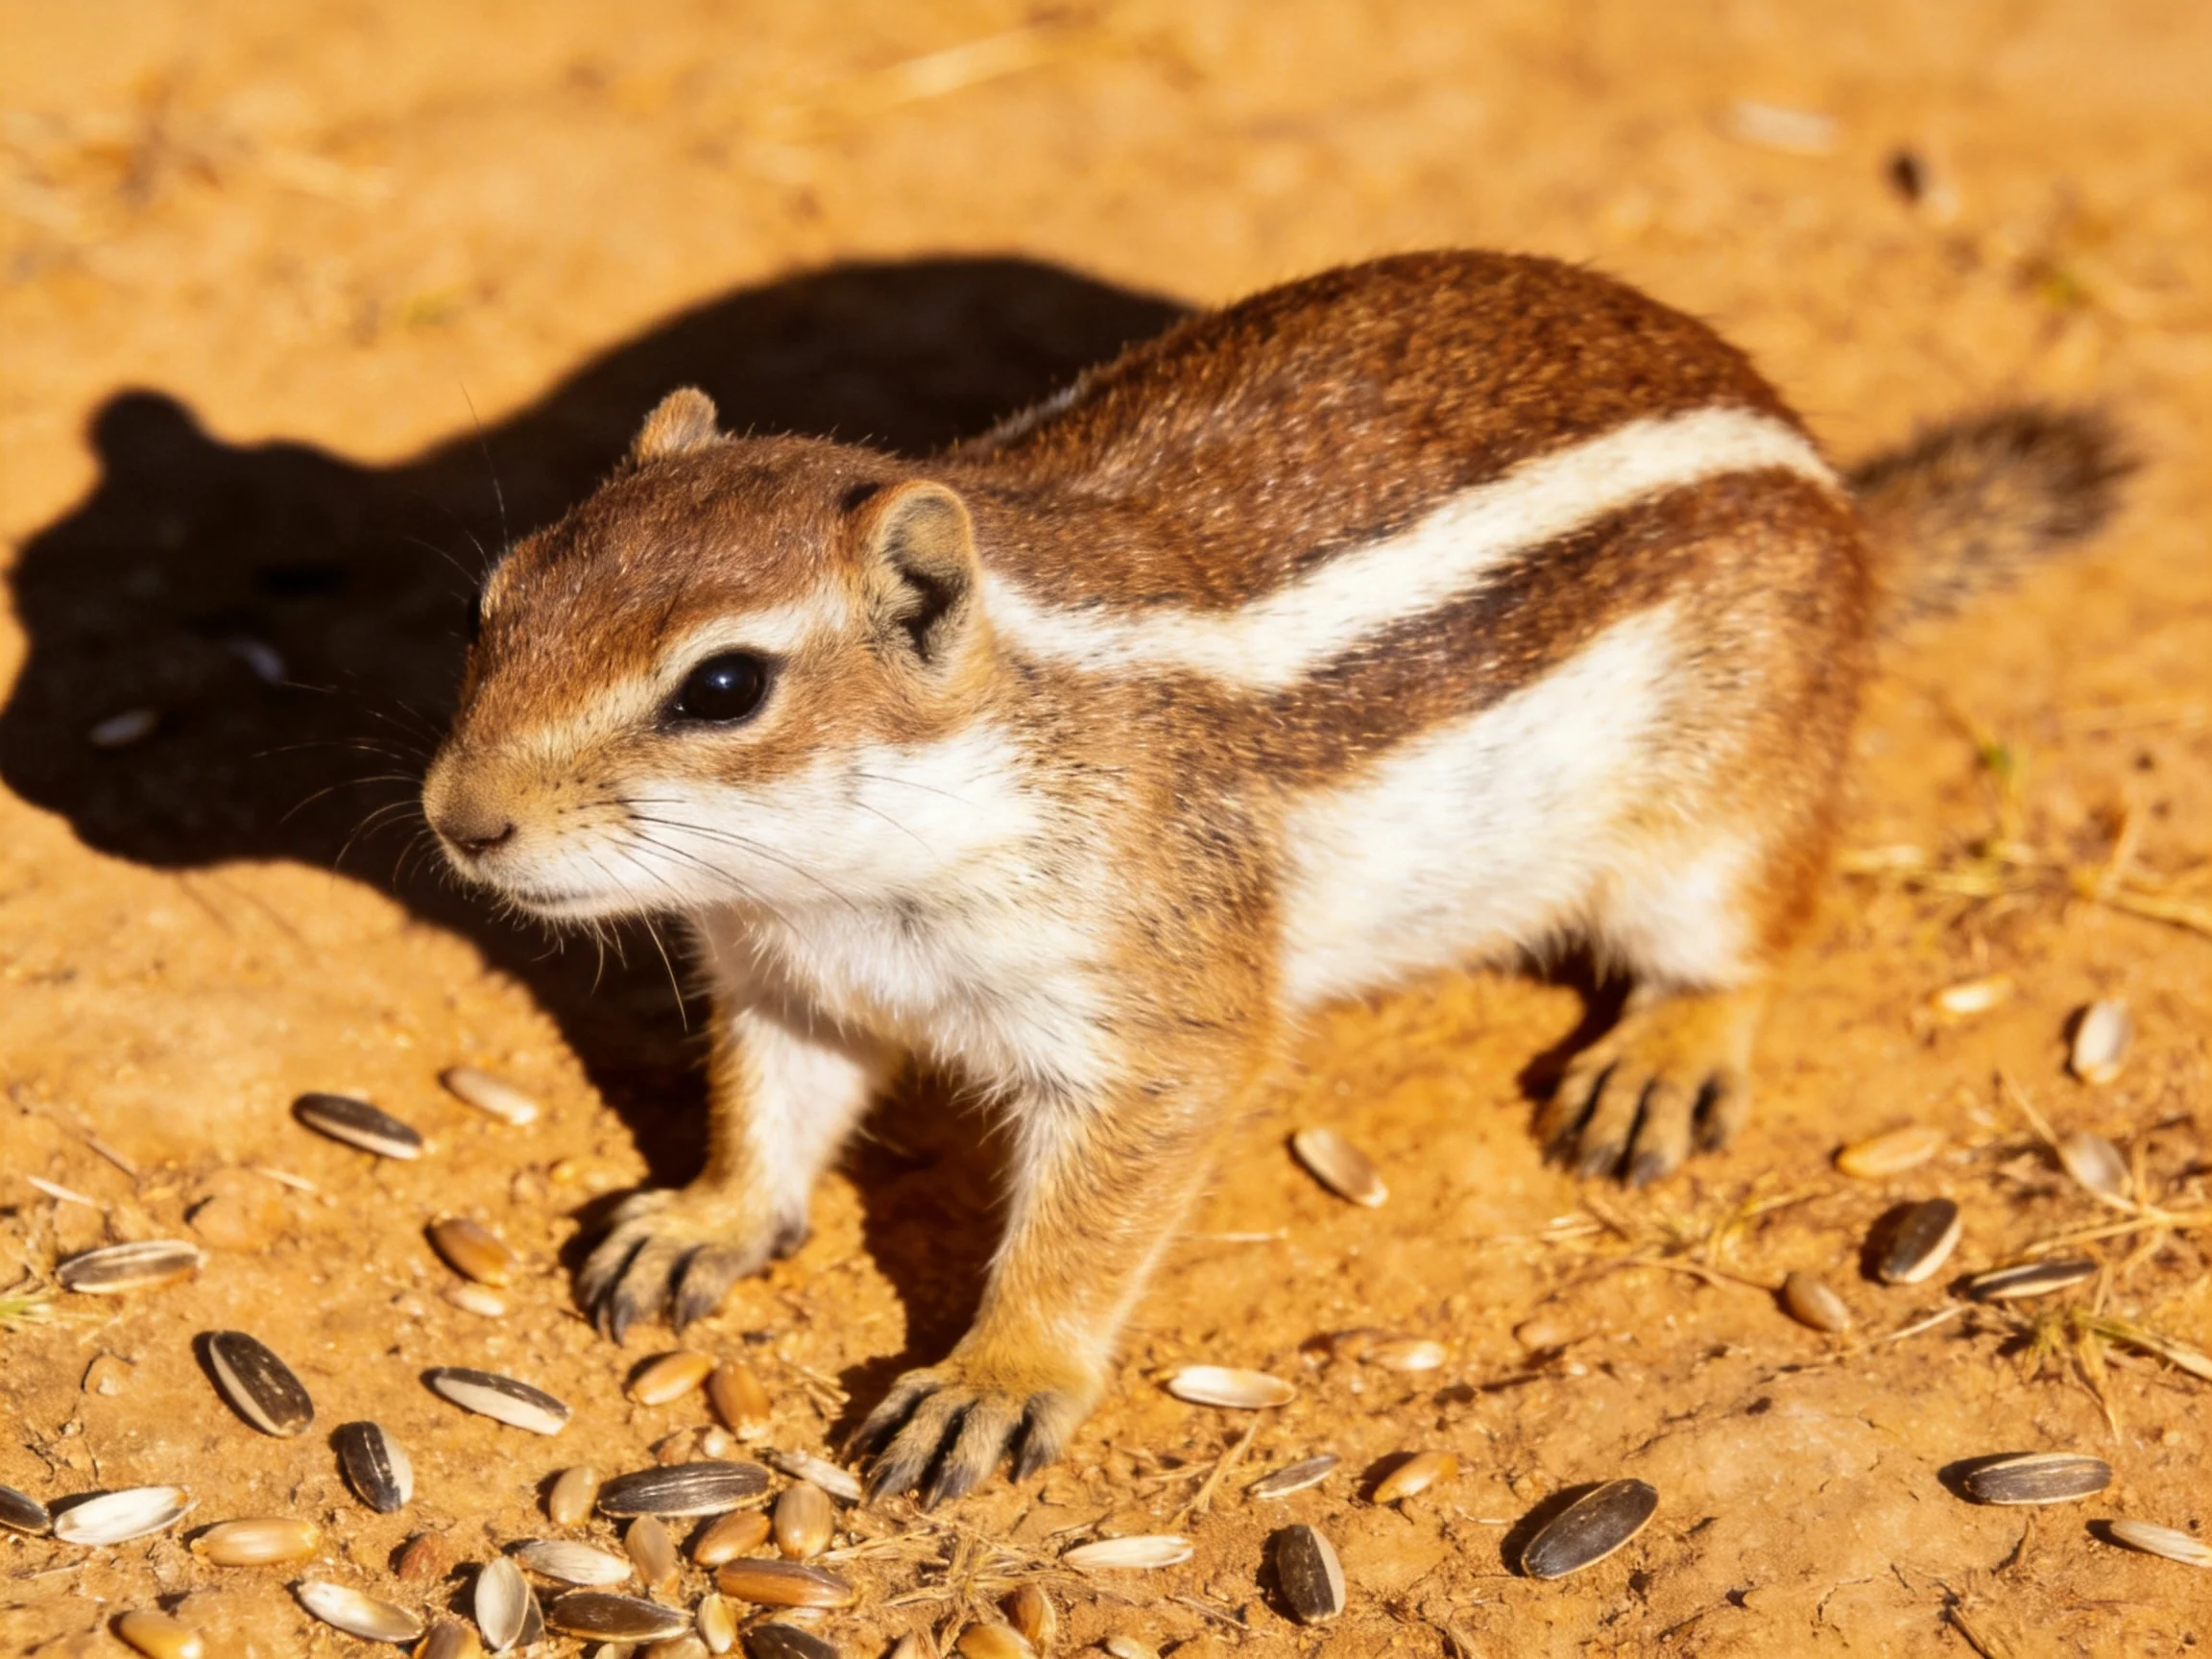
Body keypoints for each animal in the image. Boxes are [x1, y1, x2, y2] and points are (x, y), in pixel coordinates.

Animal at [422, 251, 2129, 1506]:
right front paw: (700, 1220)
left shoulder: (1155, 1003)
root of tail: (1845, 506)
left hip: (1718, 812)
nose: (457, 819)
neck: (853, 876)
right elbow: (766, 1114)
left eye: (723, 689)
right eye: (490, 604)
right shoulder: (789, 978)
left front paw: (997, 1379)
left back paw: (1663, 1058)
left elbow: (1094, 1217)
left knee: (1748, 937)